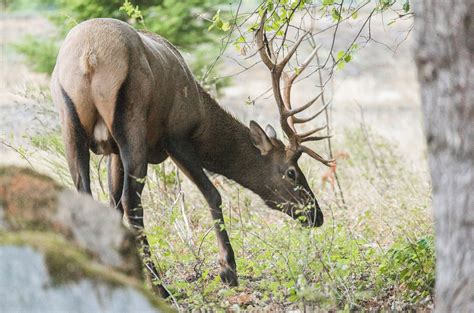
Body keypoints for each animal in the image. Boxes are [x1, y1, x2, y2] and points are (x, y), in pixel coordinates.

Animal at [51, 15, 332, 296]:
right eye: (291, 172)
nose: (316, 215)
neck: (202, 115)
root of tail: (89, 57)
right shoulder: (177, 137)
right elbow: (212, 194)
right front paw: (228, 270)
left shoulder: (113, 152)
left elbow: (111, 203)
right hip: (132, 120)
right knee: (132, 201)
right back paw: (160, 287)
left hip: (70, 124)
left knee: (88, 195)